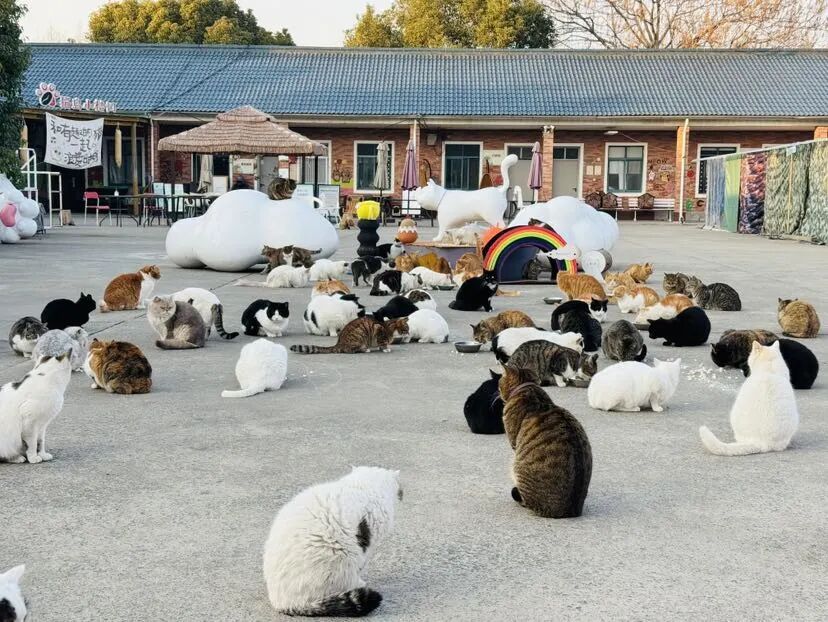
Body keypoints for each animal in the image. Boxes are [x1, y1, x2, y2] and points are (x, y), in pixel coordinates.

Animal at [498, 366, 592, 518]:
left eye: (499, 381)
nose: (498, 391)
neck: (528, 387)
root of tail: (569, 511)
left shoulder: (513, 442)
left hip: (518, 468)